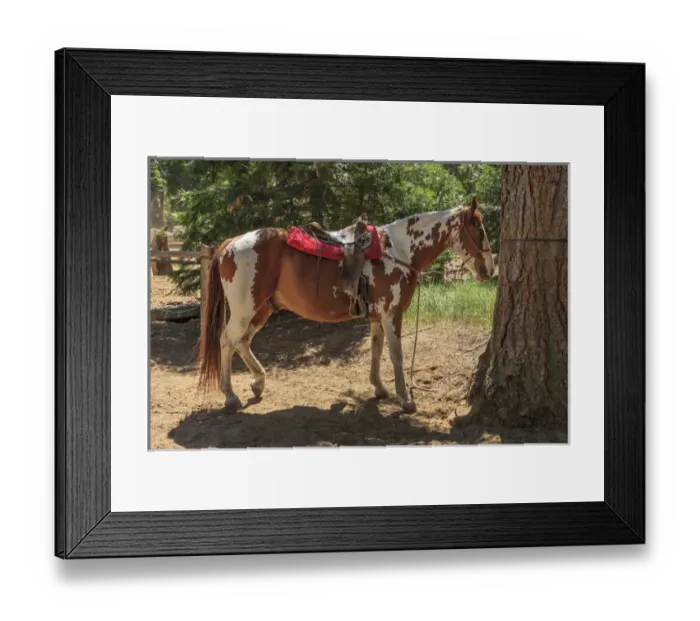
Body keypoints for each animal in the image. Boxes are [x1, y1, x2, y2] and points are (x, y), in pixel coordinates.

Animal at [198, 198, 495, 414]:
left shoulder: (377, 316)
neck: (398, 251)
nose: (490, 270)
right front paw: (406, 399)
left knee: (243, 342)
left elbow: (376, 350)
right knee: (227, 341)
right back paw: (230, 396)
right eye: (479, 229)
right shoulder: (391, 314)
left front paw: (379, 389)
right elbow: (396, 355)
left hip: (263, 309)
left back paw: (258, 382)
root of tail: (231, 243)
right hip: (244, 309)